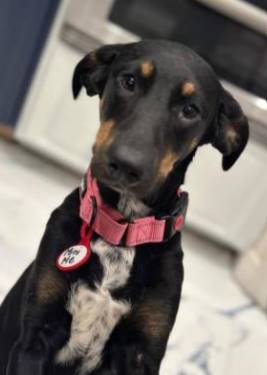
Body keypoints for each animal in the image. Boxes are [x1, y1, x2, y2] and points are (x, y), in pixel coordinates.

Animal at [0, 39, 249, 374]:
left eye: (190, 110)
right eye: (129, 81)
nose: (127, 165)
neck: (121, 232)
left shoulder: (141, 353)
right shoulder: (34, 337)